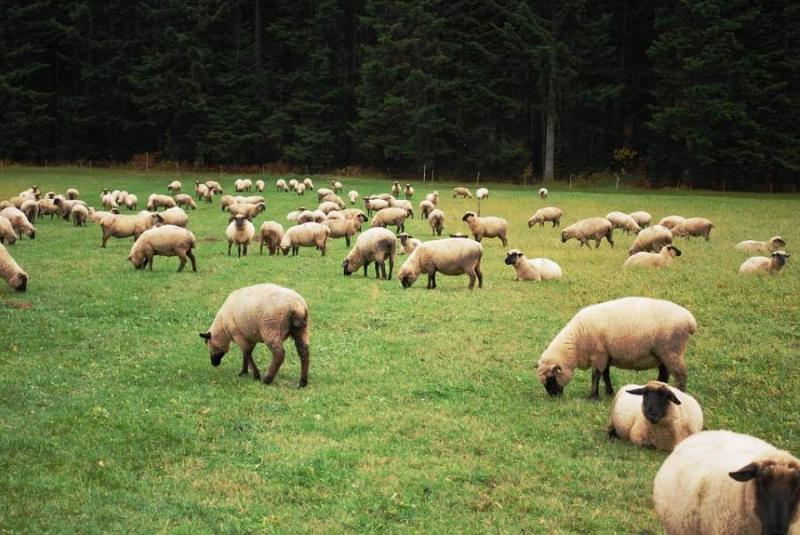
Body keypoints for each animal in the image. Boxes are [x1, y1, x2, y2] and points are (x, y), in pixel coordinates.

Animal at [536, 296, 696, 400]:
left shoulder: (598, 354)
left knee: (681, 375)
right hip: (663, 354)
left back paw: (681, 395)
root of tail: (690, 320)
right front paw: (609, 393)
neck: (576, 341)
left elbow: (596, 375)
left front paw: (593, 396)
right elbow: (606, 375)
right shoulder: (606, 354)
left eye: (551, 378)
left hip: (672, 351)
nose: (553, 396)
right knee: (664, 374)